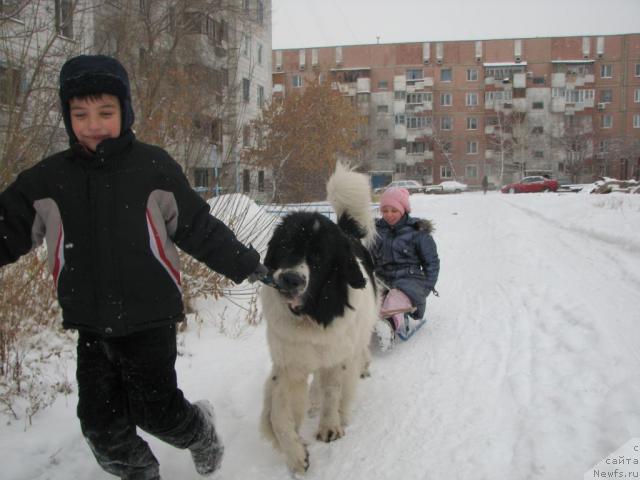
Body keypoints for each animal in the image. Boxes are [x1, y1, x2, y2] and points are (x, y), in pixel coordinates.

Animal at [260, 163, 378, 474]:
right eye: (286, 246)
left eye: (319, 257)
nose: (290, 279)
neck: (311, 315)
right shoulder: (288, 362)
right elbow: (278, 415)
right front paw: (295, 454)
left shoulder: (337, 355)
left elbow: (332, 391)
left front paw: (330, 427)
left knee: (355, 360)